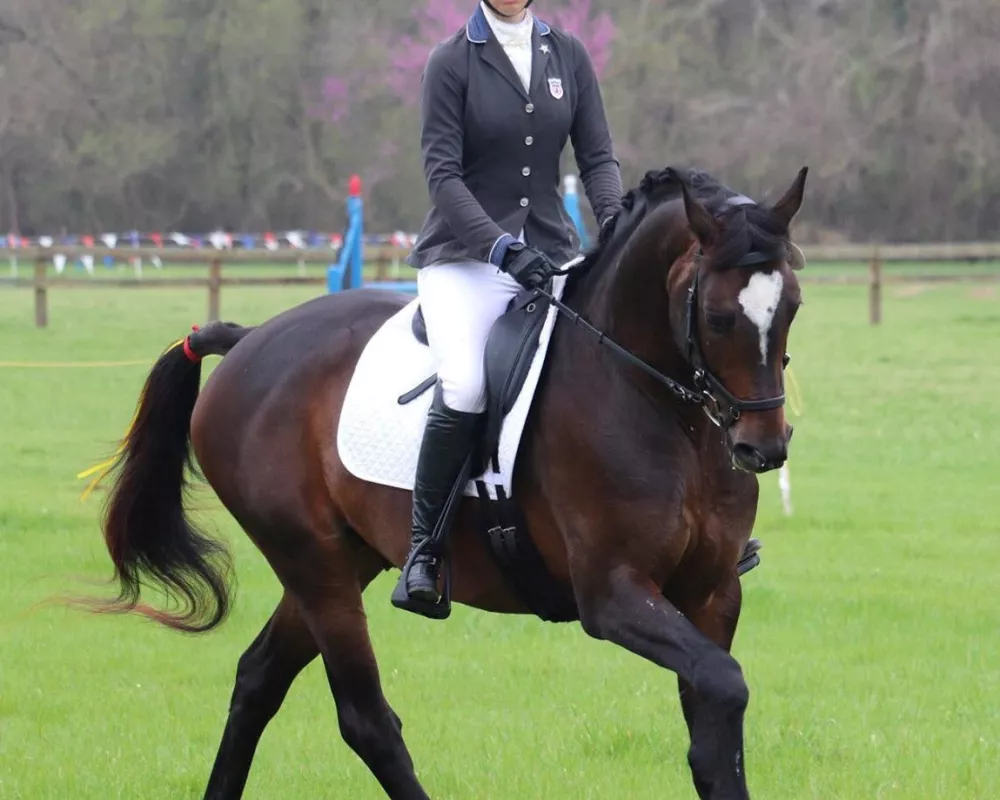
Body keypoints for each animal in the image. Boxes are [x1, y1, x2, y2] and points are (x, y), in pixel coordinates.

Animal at [84, 164, 804, 800]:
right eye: (719, 317)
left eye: (792, 306)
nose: (762, 448)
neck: (660, 407)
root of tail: (251, 339)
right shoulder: (614, 595)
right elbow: (725, 684)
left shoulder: (711, 593)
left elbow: (713, 738)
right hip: (312, 564)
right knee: (365, 720)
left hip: (345, 560)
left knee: (258, 678)